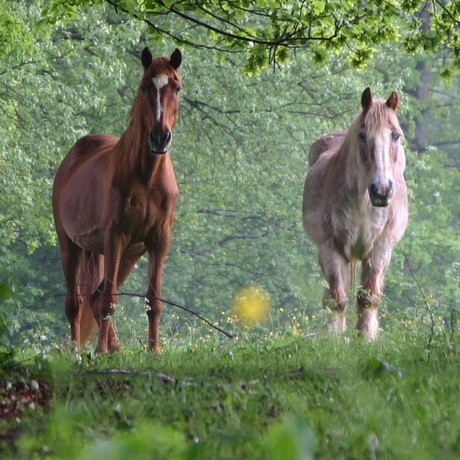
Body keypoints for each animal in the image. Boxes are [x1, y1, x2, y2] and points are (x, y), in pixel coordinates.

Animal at [53, 48, 182, 354]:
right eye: (144, 86)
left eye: (177, 87)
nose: (160, 137)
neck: (147, 178)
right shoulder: (115, 237)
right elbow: (109, 300)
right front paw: (99, 351)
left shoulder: (158, 241)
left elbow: (153, 301)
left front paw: (154, 351)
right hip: (72, 247)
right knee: (76, 303)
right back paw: (78, 354)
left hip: (128, 255)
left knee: (94, 298)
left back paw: (115, 348)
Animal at [304, 88, 408, 340]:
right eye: (362, 135)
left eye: (396, 135)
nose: (381, 190)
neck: (363, 203)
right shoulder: (331, 248)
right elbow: (337, 300)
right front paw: (335, 340)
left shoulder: (380, 249)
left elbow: (368, 298)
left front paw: (366, 339)